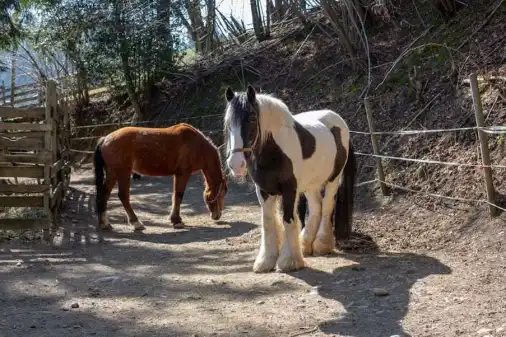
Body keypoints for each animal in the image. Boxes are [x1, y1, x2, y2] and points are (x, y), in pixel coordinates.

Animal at [94, 123, 228, 231]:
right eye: (222, 192)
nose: (217, 216)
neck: (197, 144)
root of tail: (105, 139)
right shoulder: (183, 173)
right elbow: (179, 195)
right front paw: (176, 221)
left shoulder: (177, 174)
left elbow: (175, 195)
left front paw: (175, 219)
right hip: (123, 173)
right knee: (123, 196)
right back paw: (136, 223)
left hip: (112, 174)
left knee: (104, 193)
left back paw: (105, 224)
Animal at [221, 85, 356, 272]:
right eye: (228, 122)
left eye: (253, 118)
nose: (236, 164)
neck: (274, 151)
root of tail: (338, 120)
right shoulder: (263, 190)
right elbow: (268, 222)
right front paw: (266, 261)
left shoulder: (290, 190)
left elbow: (288, 220)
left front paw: (289, 261)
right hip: (310, 185)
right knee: (316, 208)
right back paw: (305, 245)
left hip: (333, 180)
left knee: (327, 206)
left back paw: (321, 245)